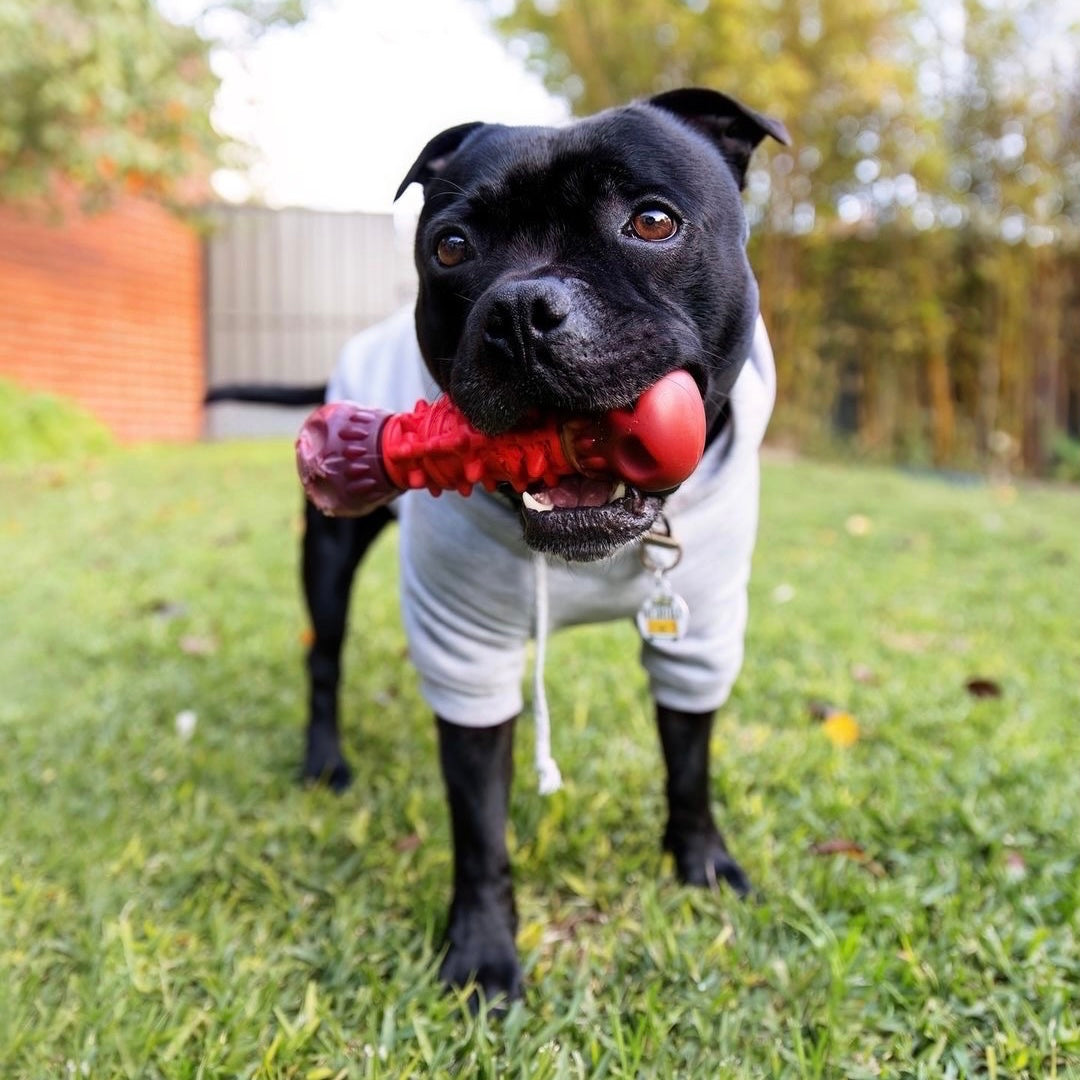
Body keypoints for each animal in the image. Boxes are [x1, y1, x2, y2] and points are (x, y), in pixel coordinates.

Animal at [210, 86, 790, 1002]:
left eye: (652, 221)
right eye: (451, 247)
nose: (521, 312)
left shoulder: (698, 634)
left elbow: (689, 761)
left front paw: (702, 863)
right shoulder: (467, 657)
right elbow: (480, 826)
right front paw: (483, 955)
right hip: (326, 558)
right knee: (322, 659)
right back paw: (325, 762)